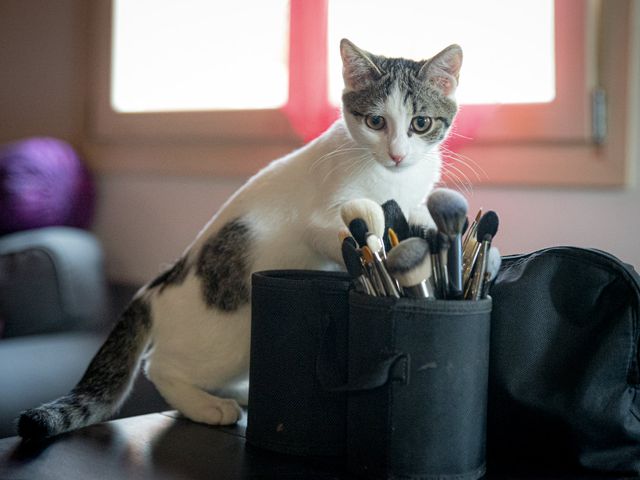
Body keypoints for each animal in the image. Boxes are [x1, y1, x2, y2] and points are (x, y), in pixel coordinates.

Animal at [17, 38, 462, 438]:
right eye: (375, 122)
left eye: (420, 123)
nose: (397, 154)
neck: (393, 178)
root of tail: (157, 287)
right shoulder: (322, 213)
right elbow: (349, 229)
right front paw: (374, 234)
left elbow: (413, 214)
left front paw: (424, 225)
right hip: (227, 337)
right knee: (159, 366)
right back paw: (207, 406)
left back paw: (242, 392)